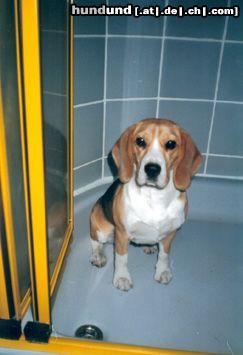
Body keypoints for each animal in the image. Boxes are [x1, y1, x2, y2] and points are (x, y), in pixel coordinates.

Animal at [89, 118, 201, 290]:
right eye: (140, 141)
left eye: (171, 144)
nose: (152, 169)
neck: (154, 196)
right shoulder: (122, 234)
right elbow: (121, 259)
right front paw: (122, 277)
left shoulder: (170, 233)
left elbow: (164, 256)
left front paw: (162, 271)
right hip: (102, 228)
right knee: (95, 241)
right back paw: (98, 256)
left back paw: (150, 246)